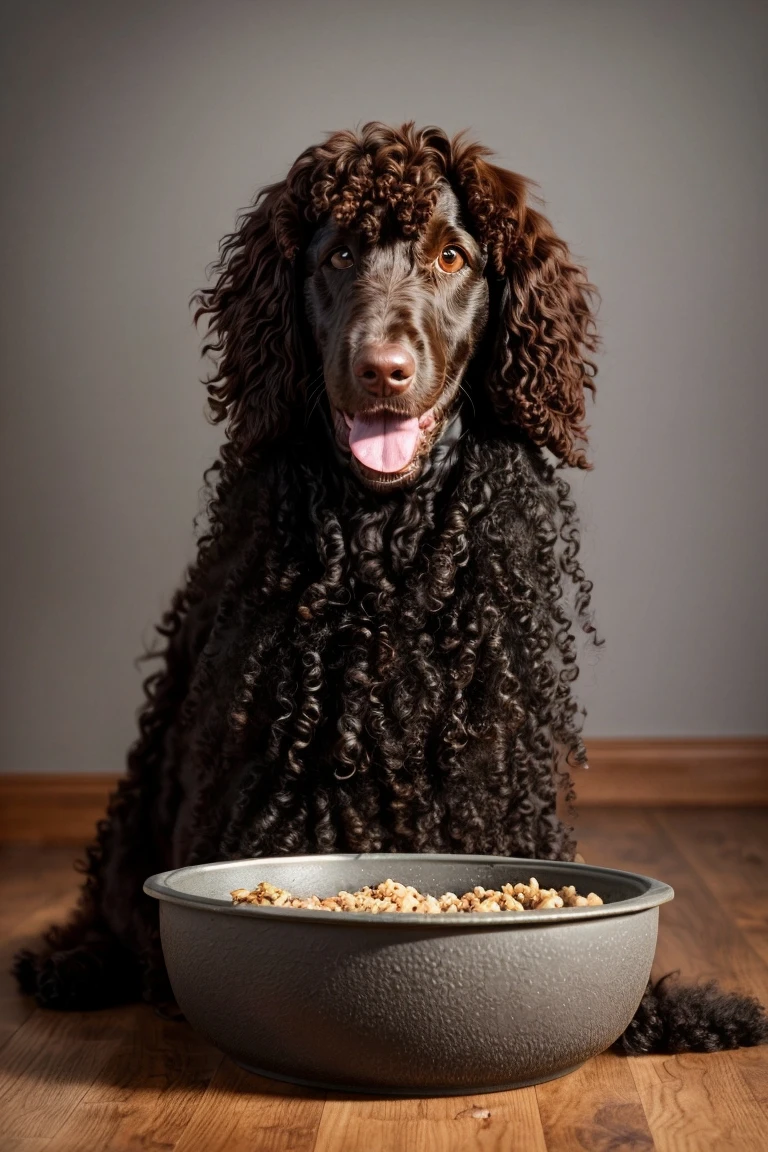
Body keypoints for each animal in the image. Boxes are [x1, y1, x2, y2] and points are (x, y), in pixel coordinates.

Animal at [15, 119, 764, 1055]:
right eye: (338, 254)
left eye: (451, 256)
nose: (383, 369)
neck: (387, 558)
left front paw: (693, 1011)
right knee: (108, 911)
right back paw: (69, 964)